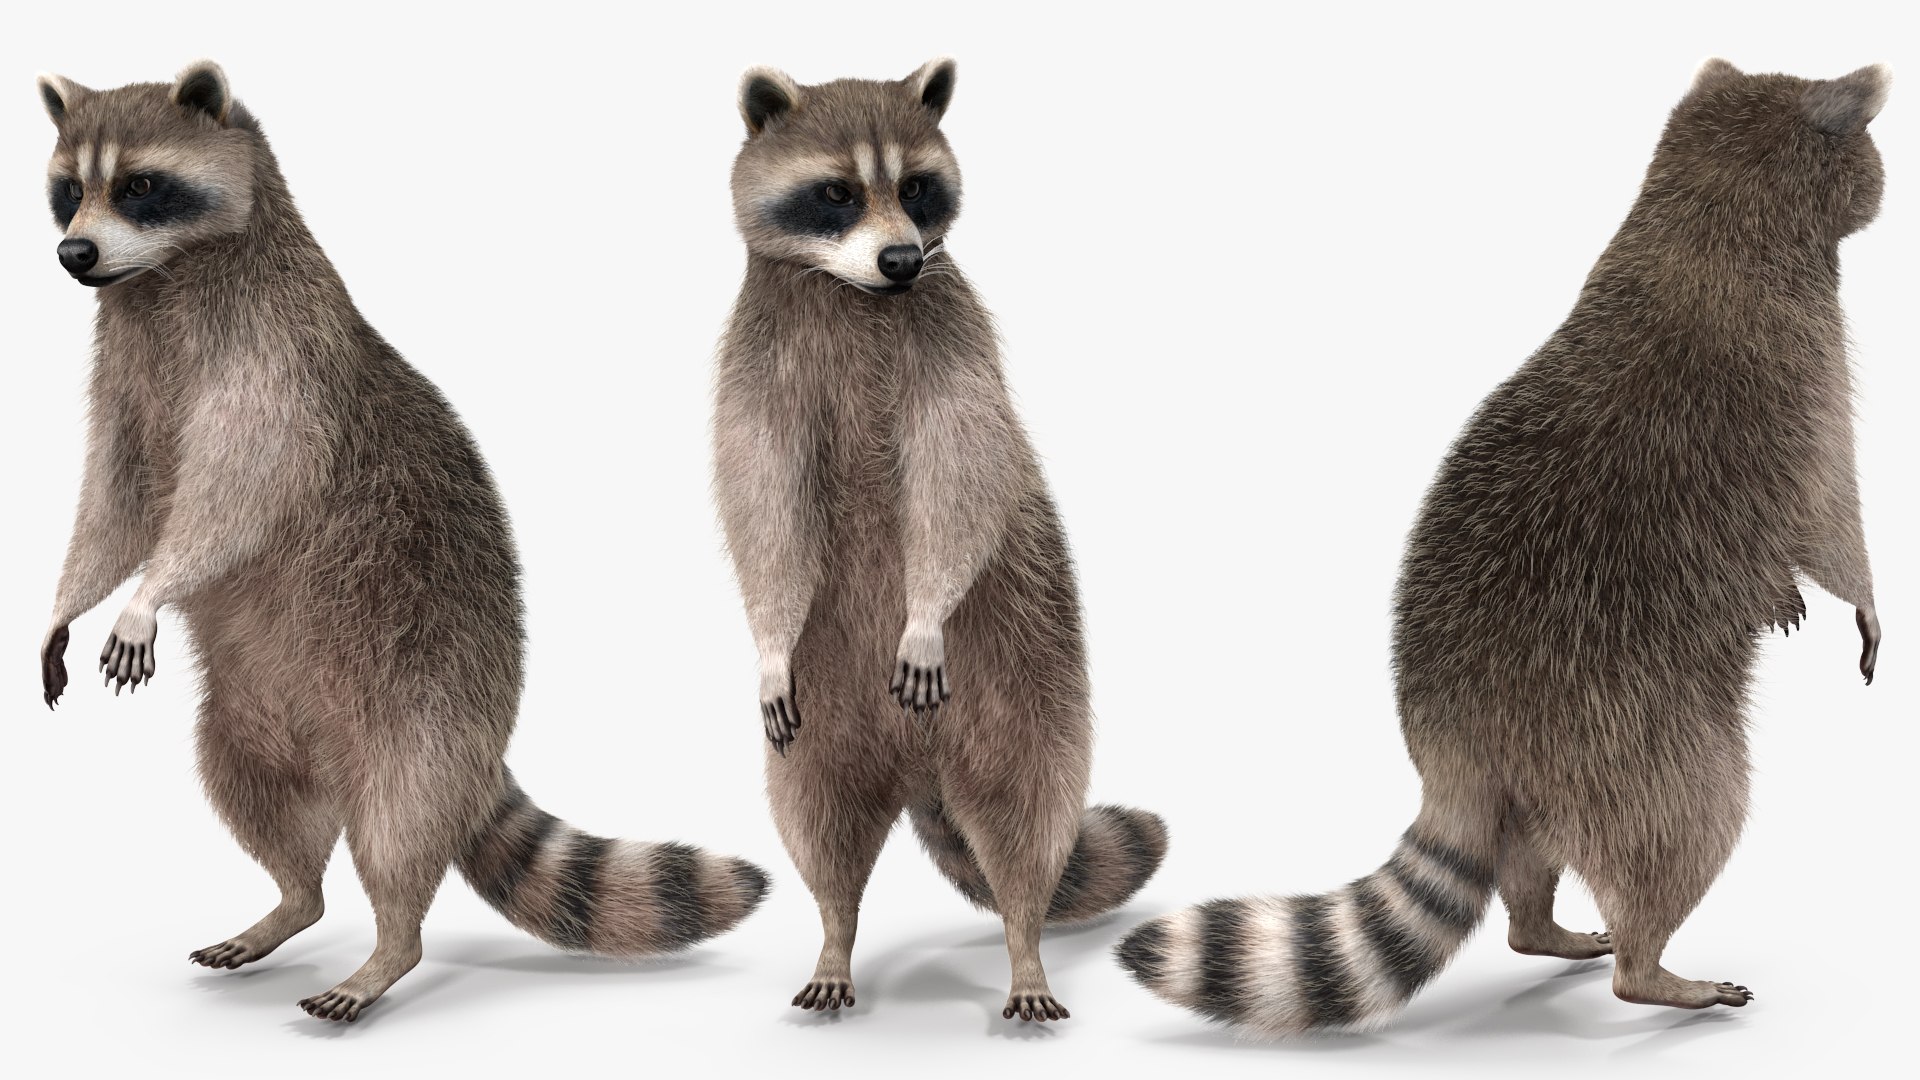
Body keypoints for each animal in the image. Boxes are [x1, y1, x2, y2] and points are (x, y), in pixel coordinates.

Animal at [35, 61, 769, 1022]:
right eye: (66, 191)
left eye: (140, 186)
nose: (75, 255)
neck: (159, 278)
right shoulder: (125, 375)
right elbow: (113, 503)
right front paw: (69, 599)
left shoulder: (280, 361)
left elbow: (236, 494)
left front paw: (149, 592)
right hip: (254, 715)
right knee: (255, 794)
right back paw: (292, 901)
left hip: (422, 698)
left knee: (399, 826)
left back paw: (389, 949)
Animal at [713, 59, 1168, 1022]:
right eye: (837, 193)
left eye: (917, 186)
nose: (901, 258)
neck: (855, 292)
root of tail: (920, 769)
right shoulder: (756, 360)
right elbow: (760, 496)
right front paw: (768, 636)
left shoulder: (951, 331)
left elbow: (963, 462)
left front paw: (924, 610)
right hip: (828, 714)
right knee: (819, 823)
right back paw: (835, 936)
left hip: (1025, 683)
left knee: (1026, 817)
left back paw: (1025, 945)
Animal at [1117, 59, 1889, 1036]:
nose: (1883, 181)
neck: (1707, 206)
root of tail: (1456, 736)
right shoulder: (1802, 368)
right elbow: (1833, 520)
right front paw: (1860, 596)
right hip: (1622, 724)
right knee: (1688, 819)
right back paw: (1649, 968)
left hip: (1546, 771)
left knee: (1525, 858)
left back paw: (1541, 925)